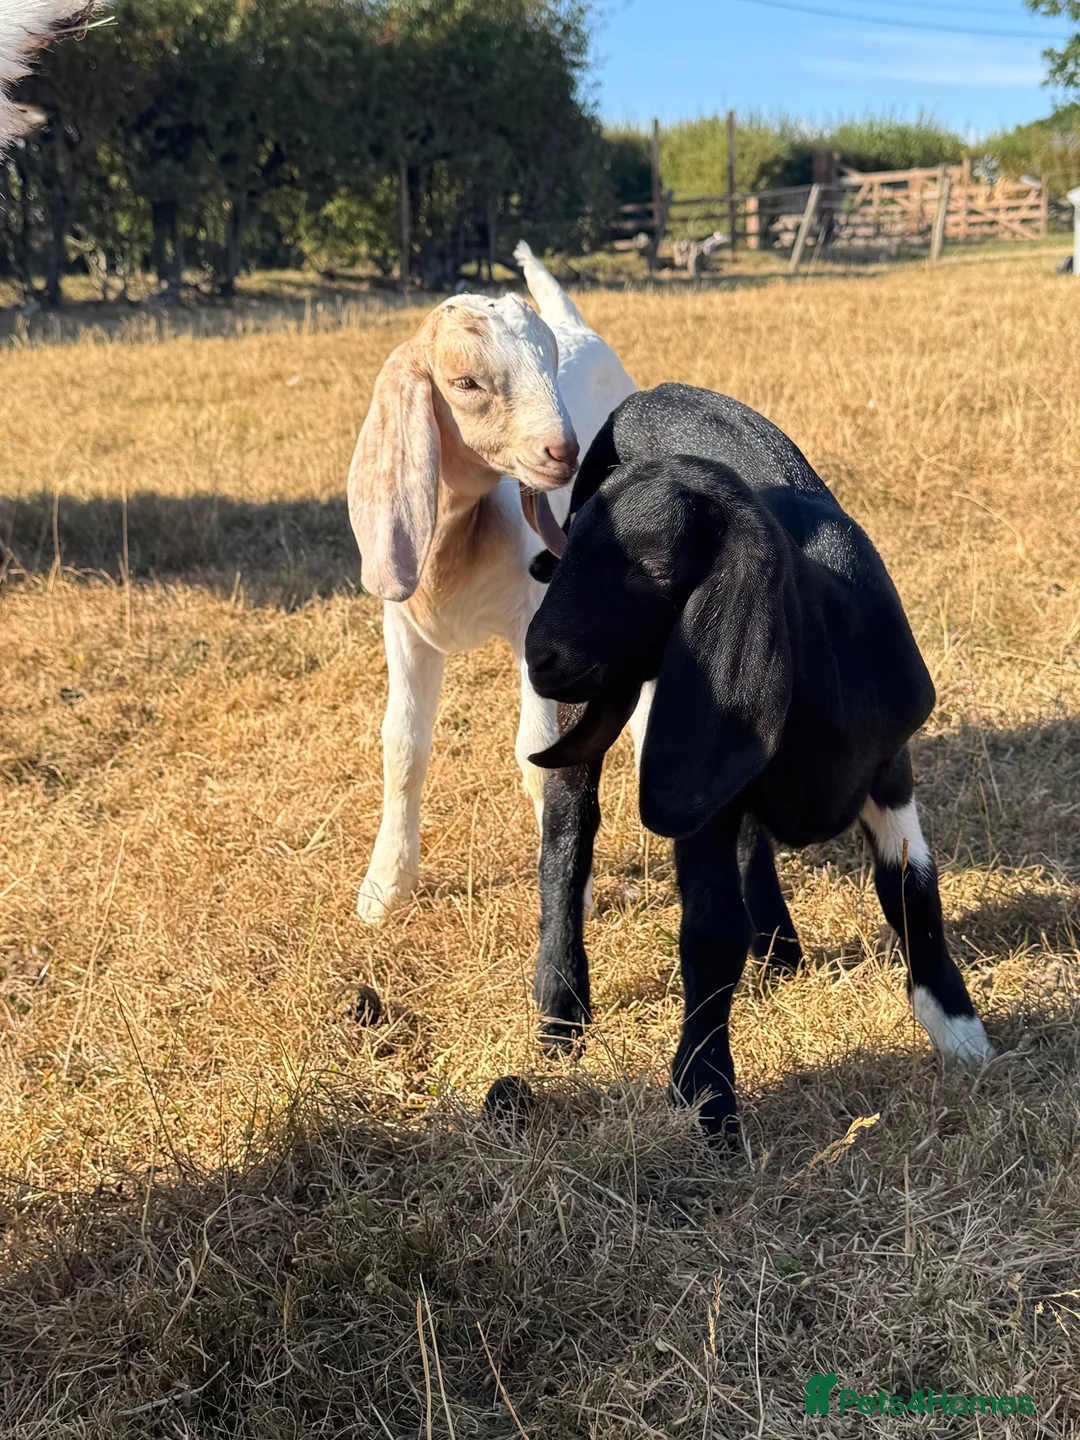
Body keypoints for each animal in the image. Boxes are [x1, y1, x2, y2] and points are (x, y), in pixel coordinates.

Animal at [348, 242, 635, 921]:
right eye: (466, 383)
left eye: (549, 365)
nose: (564, 451)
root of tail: (578, 325)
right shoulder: (403, 627)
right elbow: (402, 745)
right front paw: (384, 887)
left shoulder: (532, 624)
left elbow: (536, 751)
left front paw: (572, 891)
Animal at [526, 383, 995, 1136]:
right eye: (571, 555)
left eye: (653, 571)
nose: (538, 657)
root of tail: (650, 394)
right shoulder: (692, 791)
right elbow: (710, 931)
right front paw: (707, 1095)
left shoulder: (887, 767)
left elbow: (911, 889)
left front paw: (962, 1033)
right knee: (569, 827)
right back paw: (561, 1009)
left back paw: (778, 948)